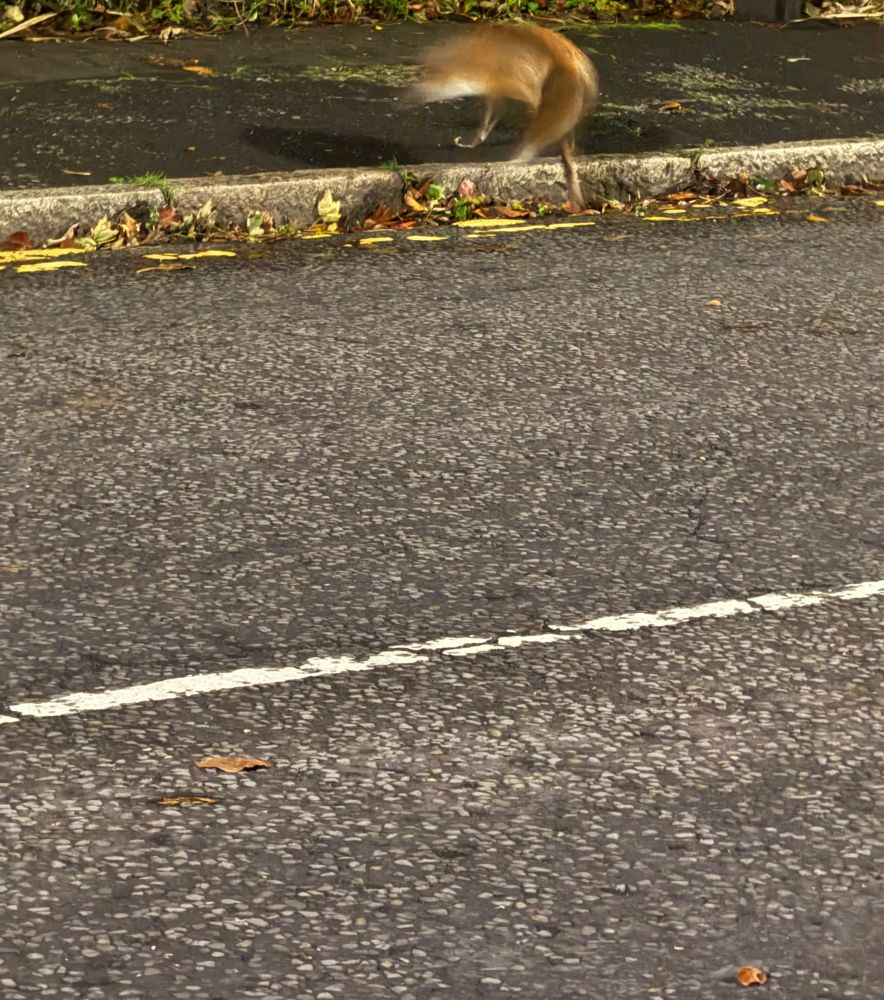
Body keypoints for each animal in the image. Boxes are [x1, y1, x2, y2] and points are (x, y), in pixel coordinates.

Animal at [410, 24, 599, 211]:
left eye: (432, 78)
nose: (412, 95)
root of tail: (577, 64)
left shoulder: (506, 81)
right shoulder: (497, 88)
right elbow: (490, 118)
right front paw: (477, 139)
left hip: (553, 106)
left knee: (539, 138)